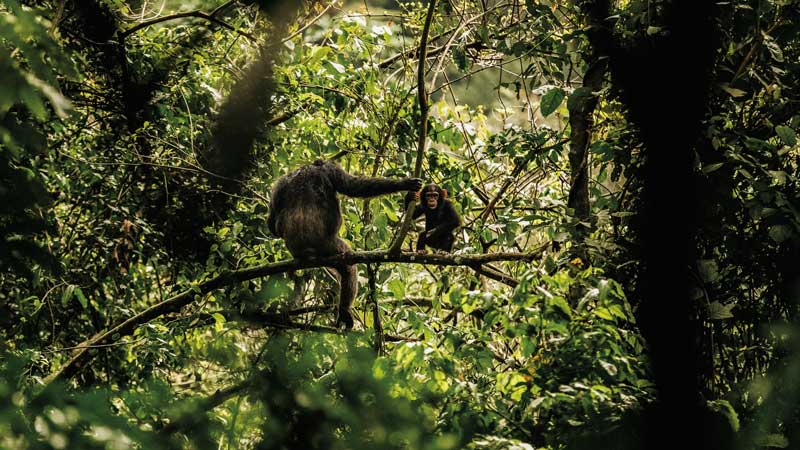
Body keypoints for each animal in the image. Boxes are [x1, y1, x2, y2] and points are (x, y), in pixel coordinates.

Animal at [266, 160, 422, 328]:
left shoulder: (279, 184)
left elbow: (271, 219)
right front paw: (406, 183)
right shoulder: (331, 169)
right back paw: (344, 311)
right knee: (349, 268)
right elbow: (354, 186)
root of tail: (307, 251)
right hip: (332, 246)